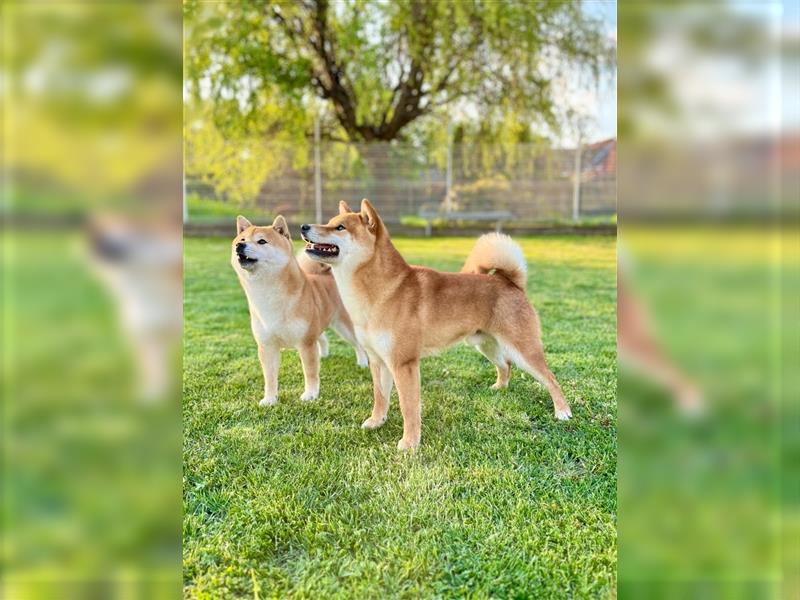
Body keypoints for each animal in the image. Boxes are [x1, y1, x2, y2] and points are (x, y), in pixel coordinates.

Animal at [231, 213, 368, 406]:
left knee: (358, 344)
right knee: (323, 338)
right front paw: (269, 399)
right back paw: (323, 355)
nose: (240, 246)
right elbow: (270, 377)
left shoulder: (306, 343)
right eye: (242, 239)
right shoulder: (267, 346)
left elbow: (310, 373)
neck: (268, 296)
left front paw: (310, 395)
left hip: (344, 326)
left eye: (262, 241)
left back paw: (363, 362)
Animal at [300, 199, 568, 448]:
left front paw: (409, 443)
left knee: (551, 379)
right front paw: (376, 422)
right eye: (330, 221)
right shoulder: (378, 360)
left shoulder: (404, 364)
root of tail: (510, 282)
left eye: (340, 227)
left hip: (524, 350)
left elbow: (408, 407)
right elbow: (380, 397)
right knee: (505, 365)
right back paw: (499, 387)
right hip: (485, 344)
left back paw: (563, 412)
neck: (383, 290)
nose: (303, 226)